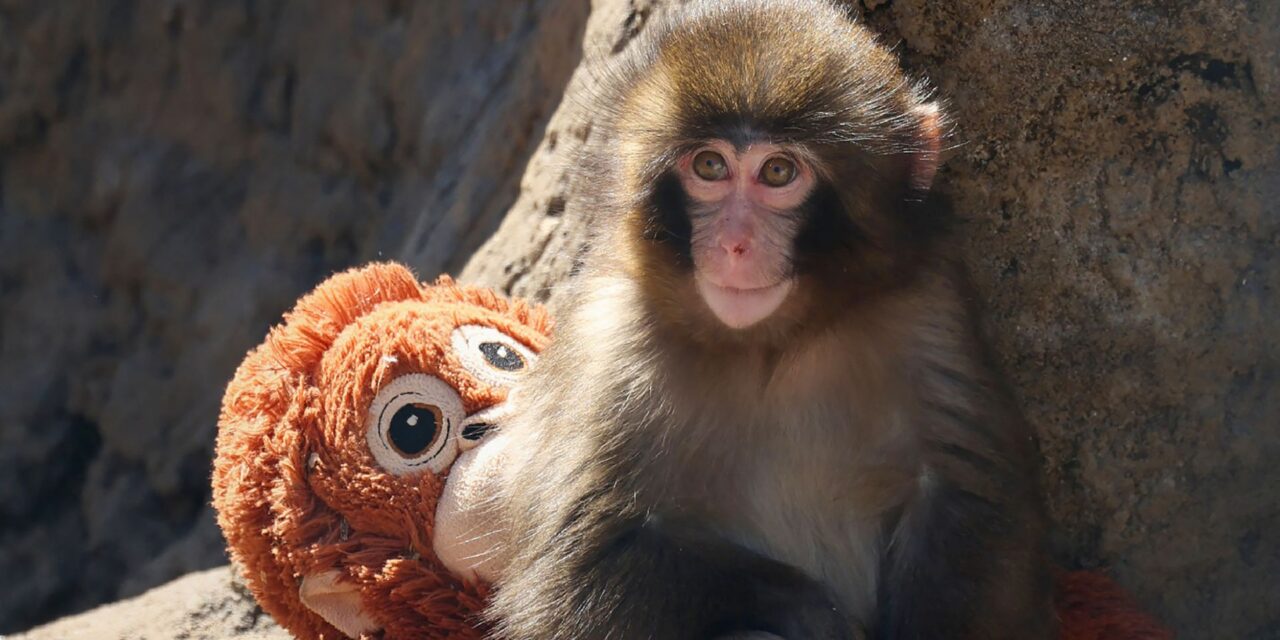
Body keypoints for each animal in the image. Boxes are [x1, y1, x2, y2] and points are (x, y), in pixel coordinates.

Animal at [482, 1, 1055, 638]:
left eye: (778, 173)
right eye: (710, 165)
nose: (735, 243)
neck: (770, 345)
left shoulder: (928, 307)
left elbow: (969, 502)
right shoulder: (612, 343)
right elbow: (579, 570)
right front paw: (811, 610)